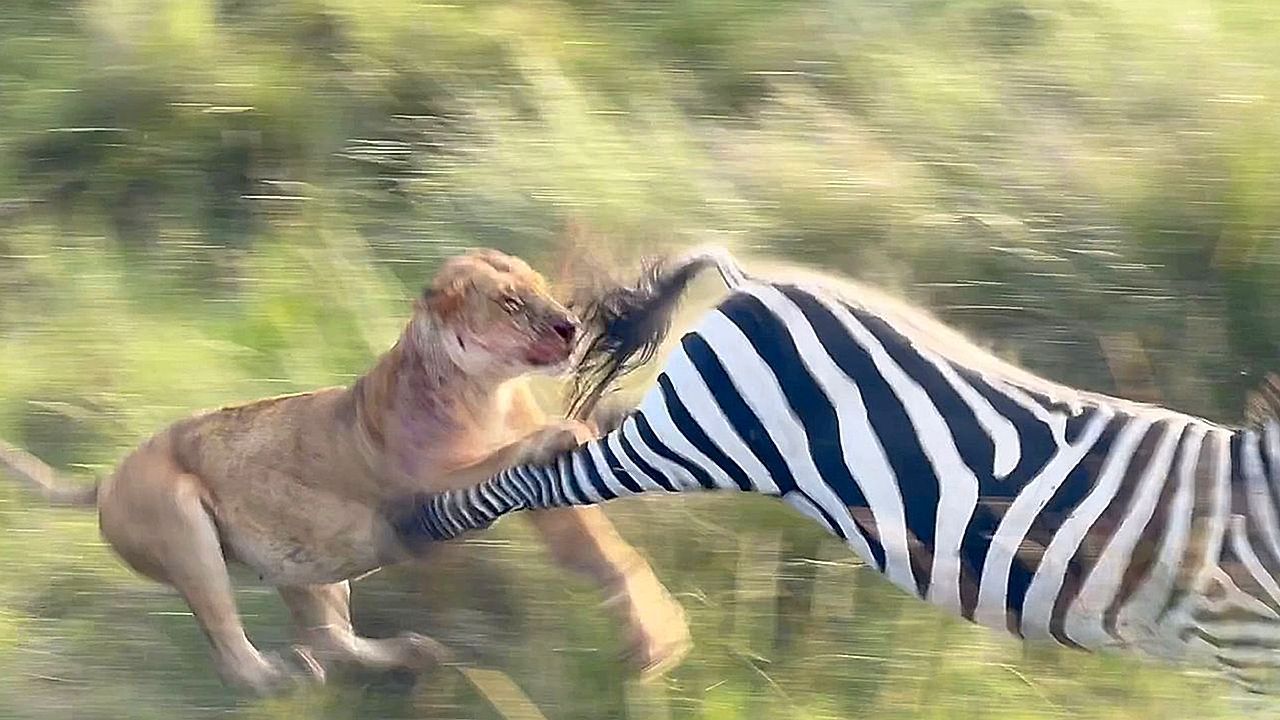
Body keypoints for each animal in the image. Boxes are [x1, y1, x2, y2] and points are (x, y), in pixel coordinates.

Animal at [391, 247, 1280, 691]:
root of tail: (756, 282)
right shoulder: (1246, 648)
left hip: (682, 427)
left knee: (570, 440)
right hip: (691, 437)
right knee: (547, 475)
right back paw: (418, 524)